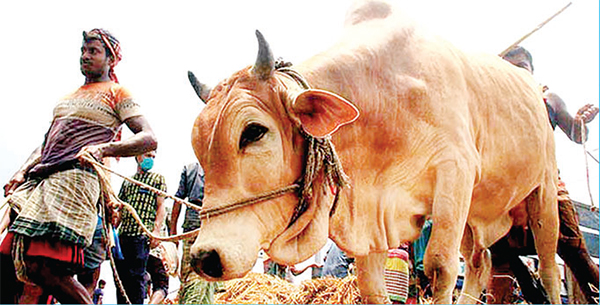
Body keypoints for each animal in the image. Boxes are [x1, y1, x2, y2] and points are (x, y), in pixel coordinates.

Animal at [189, 0, 564, 302]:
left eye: (253, 131)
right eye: (197, 146)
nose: (205, 257)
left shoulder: (455, 171)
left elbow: (441, 268)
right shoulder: (375, 214)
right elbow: (372, 286)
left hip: (543, 192)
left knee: (547, 267)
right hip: (473, 211)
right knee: (478, 263)